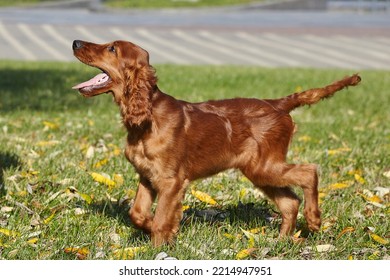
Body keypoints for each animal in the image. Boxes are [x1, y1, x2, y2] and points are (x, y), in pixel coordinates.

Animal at [72, 40, 360, 247]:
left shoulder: (171, 181)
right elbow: (139, 214)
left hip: (265, 166)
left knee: (309, 172)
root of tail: (277, 103)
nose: (75, 42)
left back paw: (313, 220)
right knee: (290, 202)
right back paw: (280, 242)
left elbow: (162, 218)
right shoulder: (147, 176)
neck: (147, 117)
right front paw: (159, 231)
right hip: (259, 170)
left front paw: (158, 247)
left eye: (112, 48)